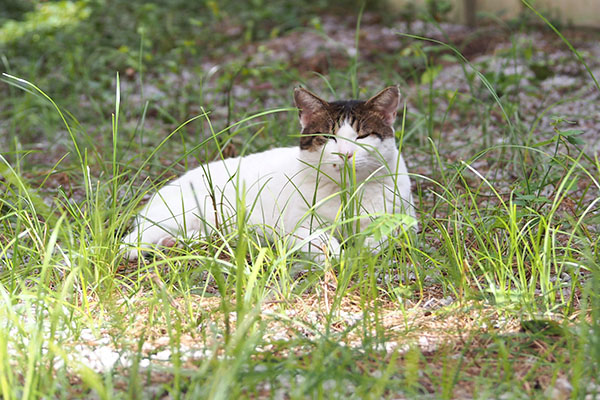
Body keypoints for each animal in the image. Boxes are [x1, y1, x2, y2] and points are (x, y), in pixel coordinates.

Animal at [119, 85, 414, 260]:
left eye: (362, 136)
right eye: (329, 137)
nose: (345, 153)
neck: (347, 192)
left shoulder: (403, 220)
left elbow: (380, 236)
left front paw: (362, 251)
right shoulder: (297, 226)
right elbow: (322, 240)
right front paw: (336, 254)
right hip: (184, 211)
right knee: (129, 242)